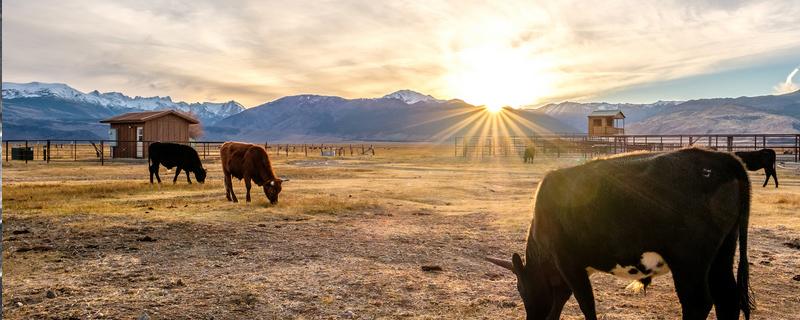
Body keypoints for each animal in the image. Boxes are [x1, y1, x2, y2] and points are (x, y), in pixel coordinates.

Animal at [488, 149, 756, 320]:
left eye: (521, 289)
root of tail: (722, 158)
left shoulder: (568, 262)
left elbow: (586, 304)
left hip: (689, 260)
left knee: (698, 302)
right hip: (722, 253)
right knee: (727, 299)